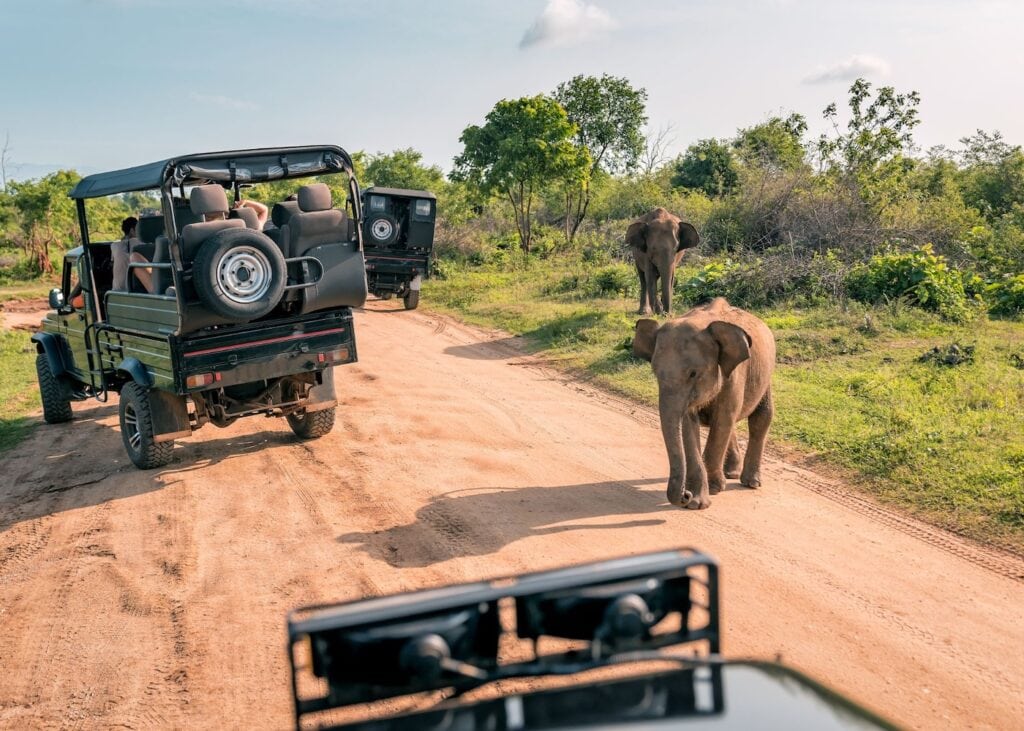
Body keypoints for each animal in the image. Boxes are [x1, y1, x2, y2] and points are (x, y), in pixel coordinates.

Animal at [632, 297, 776, 510]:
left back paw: (750, 482)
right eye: (656, 373)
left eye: (693, 373)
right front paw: (697, 501)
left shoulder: (734, 375)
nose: (685, 495)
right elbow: (688, 425)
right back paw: (731, 473)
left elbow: (723, 420)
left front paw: (714, 489)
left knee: (761, 417)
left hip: (766, 376)